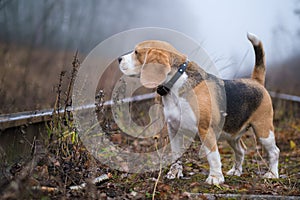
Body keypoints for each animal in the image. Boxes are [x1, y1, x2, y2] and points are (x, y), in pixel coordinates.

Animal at [118, 32, 280, 184]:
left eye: (136, 52)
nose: (119, 59)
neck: (176, 83)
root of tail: (255, 81)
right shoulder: (174, 130)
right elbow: (176, 154)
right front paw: (175, 172)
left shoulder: (205, 129)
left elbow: (213, 155)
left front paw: (215, 178)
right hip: (231, 134)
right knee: (241, 150)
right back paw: (236, 171)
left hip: (263, 130)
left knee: (274, 152)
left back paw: (272, 174)